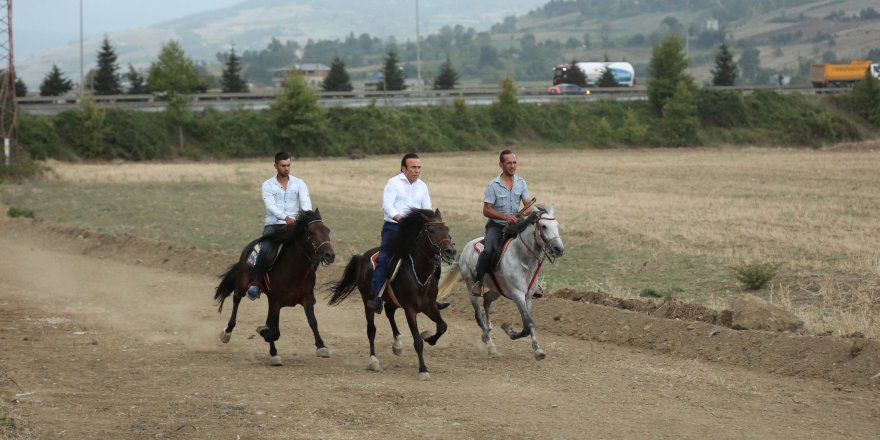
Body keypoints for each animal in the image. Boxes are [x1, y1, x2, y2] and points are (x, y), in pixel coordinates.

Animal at [215, 209, 336, 364]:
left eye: (327, 230)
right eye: (311, 233)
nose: (330, 255)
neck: (294, 270)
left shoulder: (307, 298)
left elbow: (312, 321)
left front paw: (321, 346)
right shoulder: (274, 302)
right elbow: (273, 330)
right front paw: (271, 349)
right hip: (242, 284)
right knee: (236, 299)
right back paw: (227, 332)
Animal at [326, 208, 458, 380]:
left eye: (447, 229)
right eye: (431, 230)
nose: (450, 251)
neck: (420, 276)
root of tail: (362, 257)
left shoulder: (429, 306)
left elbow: (443, 326)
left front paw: (429, 339)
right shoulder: (410, 309)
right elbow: (417, 341)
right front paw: (423, 370)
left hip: (392, 299)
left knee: (389, 311)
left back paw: (398, 344)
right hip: (367, 300)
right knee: (371, 330)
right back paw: (374, 361)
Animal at [438, 205, 564, 360]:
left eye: (557, 225)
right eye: (544, 226)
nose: (559, 249)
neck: (522, 259)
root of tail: (466, 248)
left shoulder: (528, 297)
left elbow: (528, 324)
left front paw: (533, 345)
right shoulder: (517, 295)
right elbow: (528, 324)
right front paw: (531, 346)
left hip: (497, 290)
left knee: (486, 300)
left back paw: (487, 330)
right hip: (470, 284)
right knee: (478, 316)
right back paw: (490, 345)